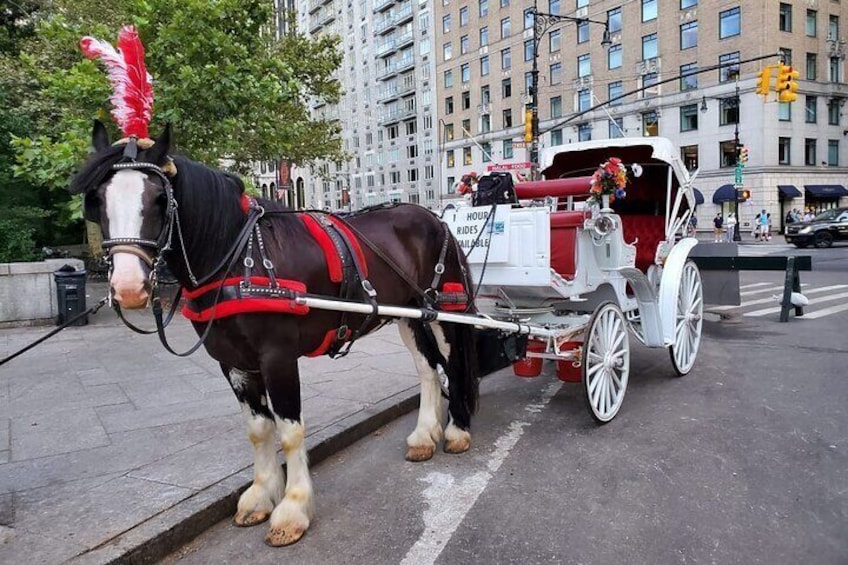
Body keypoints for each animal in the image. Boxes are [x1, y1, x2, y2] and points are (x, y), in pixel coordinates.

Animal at [71, 120, 484, 548]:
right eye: (97, 199)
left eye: (157, 199)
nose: (128, 287)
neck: (239, 255)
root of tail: (436, 219)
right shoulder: (232, 362)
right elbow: (258, 429)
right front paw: (260, 494)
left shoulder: (278, 356)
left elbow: (289, 431)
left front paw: (293, 508)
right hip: (410, 316)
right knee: (427, 370)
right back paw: (423, 436)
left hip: (445, 312)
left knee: (453, 364)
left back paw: (456, 430)